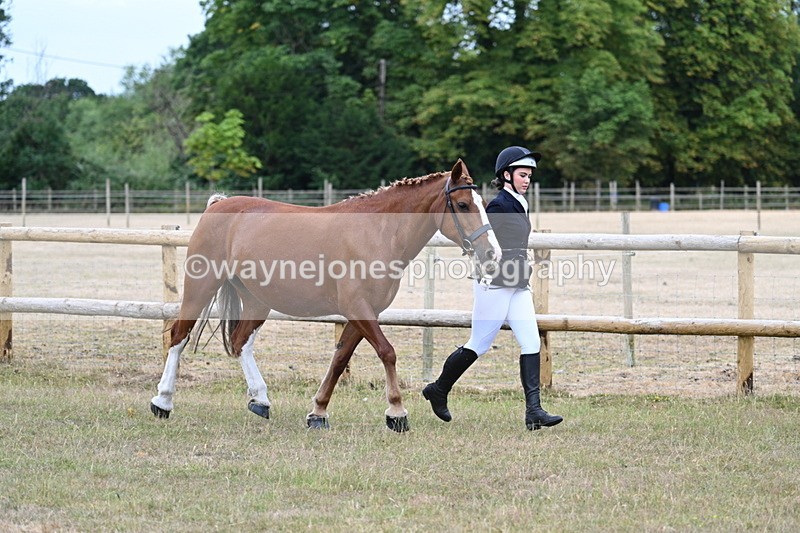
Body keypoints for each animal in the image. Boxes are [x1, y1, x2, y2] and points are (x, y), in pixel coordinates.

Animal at [149, 159, 501, 432]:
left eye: (483, 205)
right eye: (463, 205)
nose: (491, 253)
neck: (378, 233)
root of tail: (219, 204)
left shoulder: (364, 313)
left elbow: (340, 359)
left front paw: (318, 412)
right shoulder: (359, 308)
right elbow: (387, 352)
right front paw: (397, 412)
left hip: (256, 301)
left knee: (240, 343)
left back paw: (260, 399)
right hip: (201, 287)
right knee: (179, 336)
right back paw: (162, 401)